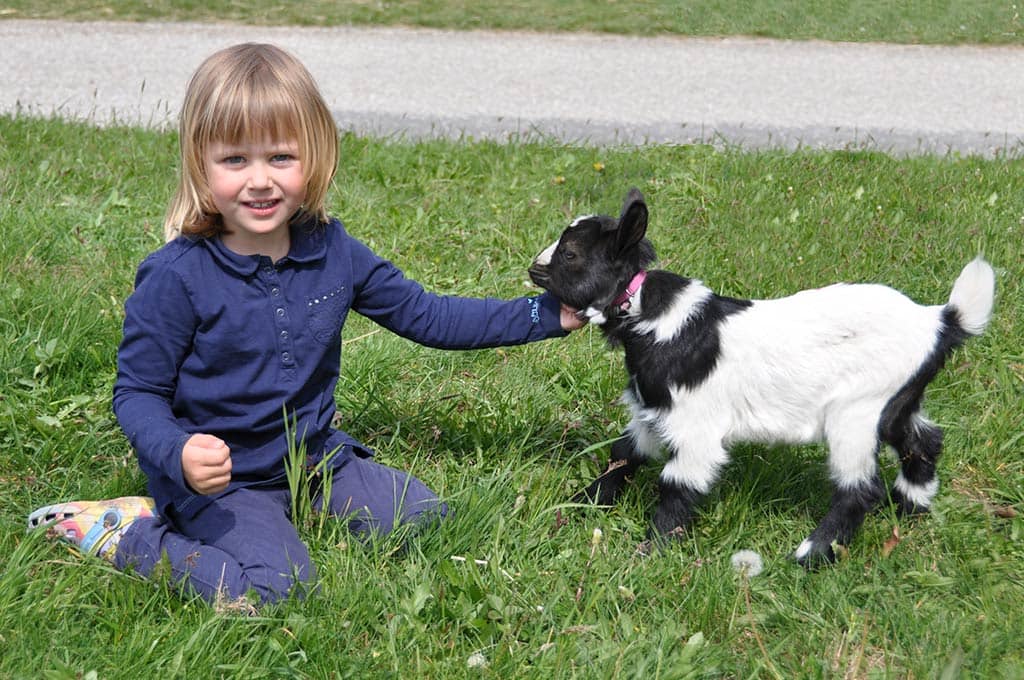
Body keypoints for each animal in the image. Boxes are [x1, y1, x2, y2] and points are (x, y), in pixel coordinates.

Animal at [529, 188, 995, 566]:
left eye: (570, 254)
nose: (533, 268)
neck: (648, 314)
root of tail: (939, 321)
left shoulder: (695, 424)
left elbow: (678, 483)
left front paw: (651, 551)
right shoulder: (652, 410)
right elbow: (623, 454)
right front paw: (581, 506)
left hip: (857, 411)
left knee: (860, 489)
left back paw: (811, 555)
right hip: (896, 400)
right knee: (924, 441)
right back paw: (910, 507)